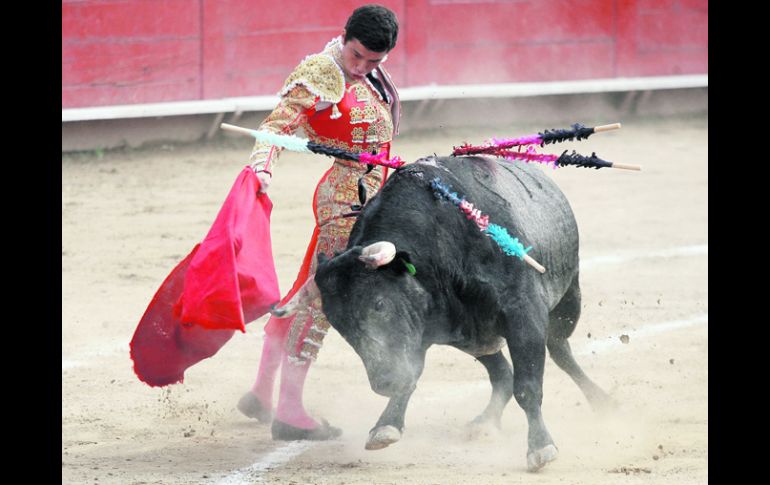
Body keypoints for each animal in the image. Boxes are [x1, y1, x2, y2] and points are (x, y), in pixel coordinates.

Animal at [308, 154, 608, 468]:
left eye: (379, 304)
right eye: (338, 324)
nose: (384, 383)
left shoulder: (524, 315)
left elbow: (527, 386)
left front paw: (540, 447)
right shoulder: (425, 330)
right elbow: (412, 374)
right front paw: (385, 425)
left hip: (568, 301)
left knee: (560, 350)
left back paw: (603, 402)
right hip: (472, 336)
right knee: (502, 373)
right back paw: (485, 422)